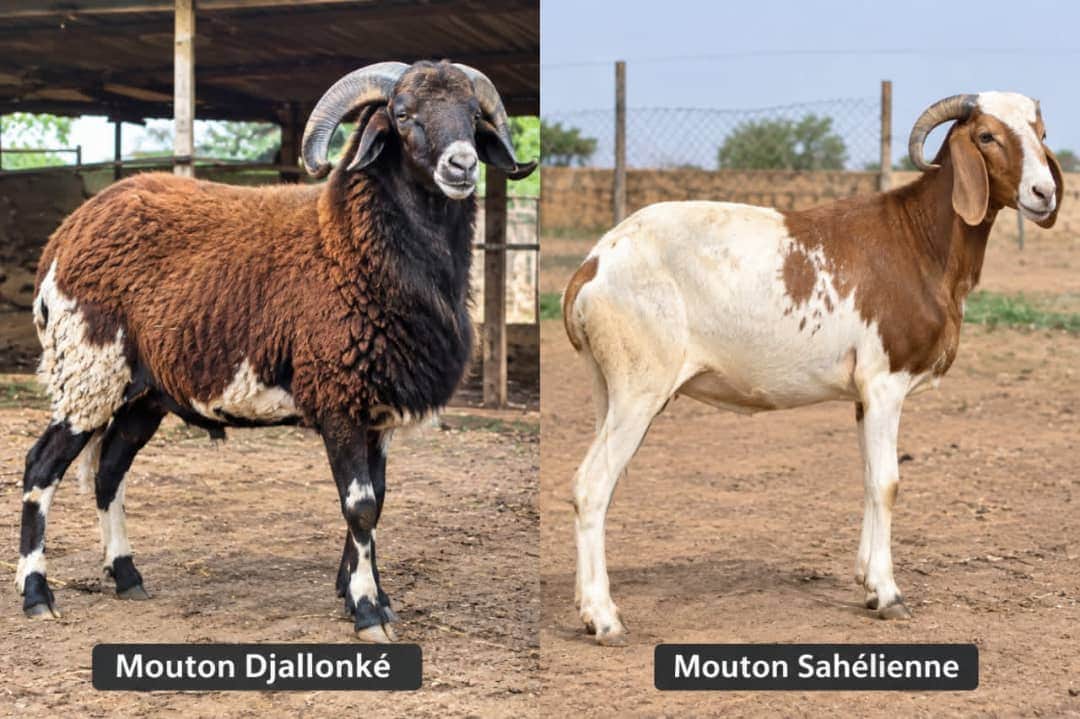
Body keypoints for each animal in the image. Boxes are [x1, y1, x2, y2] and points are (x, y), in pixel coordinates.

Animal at [13, 59, 536, 643]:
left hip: (141, 396)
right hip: (89, 371)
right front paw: (367, 612)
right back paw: (37, 596)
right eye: (402, 115)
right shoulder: (337, 397)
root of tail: (64, 237)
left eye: (473, 114)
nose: (462, 164)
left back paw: (127, 577)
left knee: (109, 471)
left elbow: (377, 500)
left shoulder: (375, 411)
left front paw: (370, 596)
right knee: (41, 467)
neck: (347, 243)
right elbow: (359, 506)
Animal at [562, 92, 1062, 645]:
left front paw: (866, 580)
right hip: (640, 385)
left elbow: (867, 478)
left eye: (1041, 133)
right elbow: (887, 482)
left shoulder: (864, 395)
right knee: (592, 485)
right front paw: (888, 594)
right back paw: (603, 618)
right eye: (986, 136)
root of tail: (594, 263)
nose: (1043, 193)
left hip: (606, 385)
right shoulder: (885, 383)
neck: (917, 239)